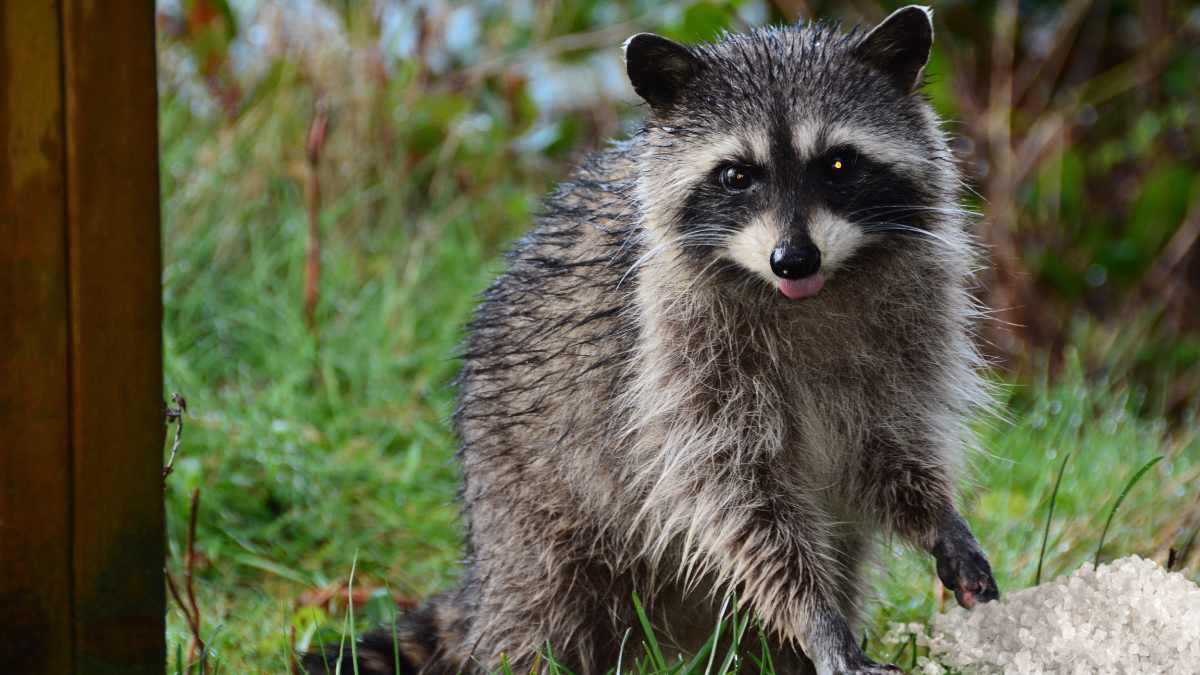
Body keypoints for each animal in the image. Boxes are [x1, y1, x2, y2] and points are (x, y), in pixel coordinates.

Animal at [305, 6, 999, 675]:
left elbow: (888, 446)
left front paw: (937, 517)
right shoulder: (675, 359)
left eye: (837, 163)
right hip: (528, 504)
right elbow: (738, 500)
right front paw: (816, 619)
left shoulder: (910, 328)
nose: (793, 259)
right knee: (543, 613)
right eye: (735, 176)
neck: (808, 296)